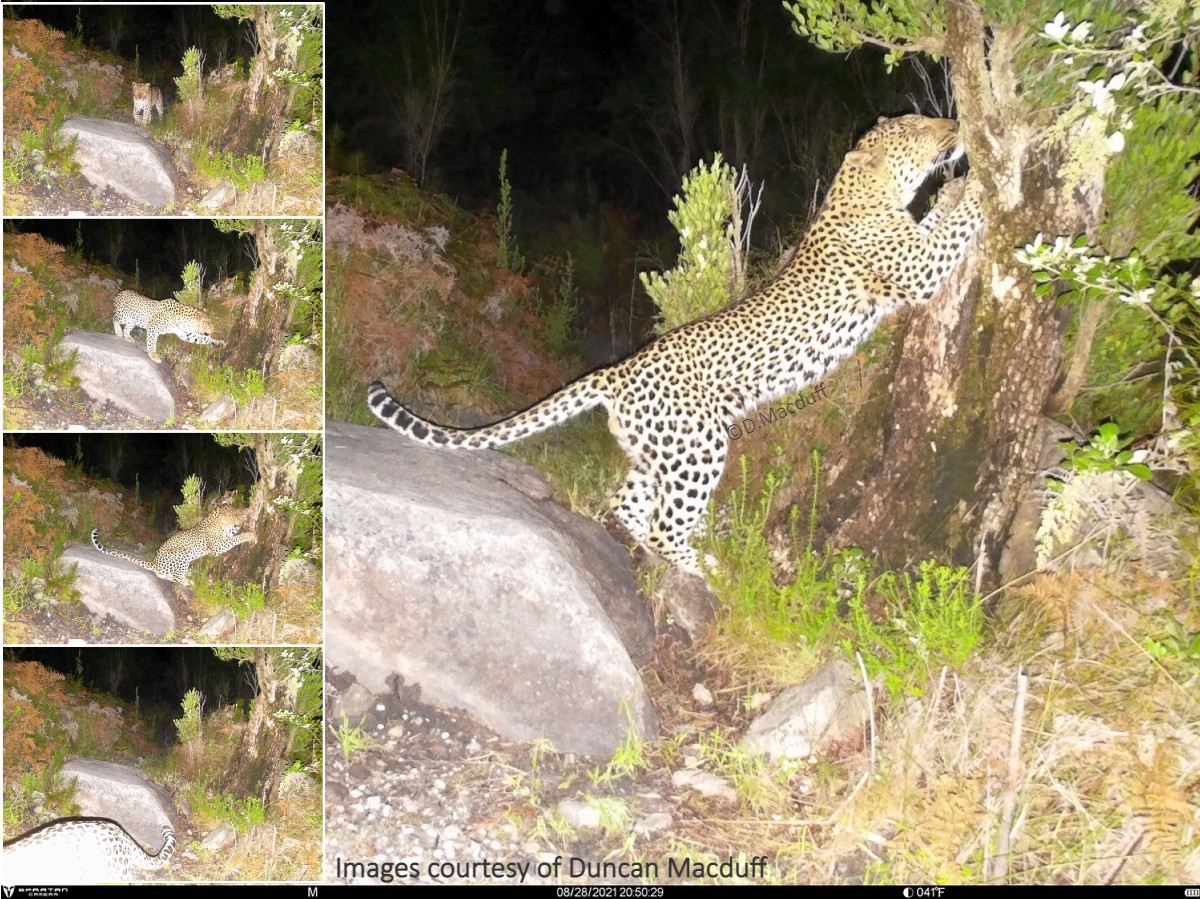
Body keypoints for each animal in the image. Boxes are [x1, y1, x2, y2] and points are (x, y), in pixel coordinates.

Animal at [91, 505, 255, 586]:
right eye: (236, 517)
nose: (241, 523)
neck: (219, 523)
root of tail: (154, 562)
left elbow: (232, 537)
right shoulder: (217, 546)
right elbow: (235, 539)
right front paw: (250, 534)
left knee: (165, 575)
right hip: (182, 553)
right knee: (177, 577)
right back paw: (189, 582)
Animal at [369, 115, 985, 575]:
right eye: (922, 127)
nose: (956, 123)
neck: (865, 192)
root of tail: (617, 371)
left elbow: (942, 217)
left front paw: (960, 183)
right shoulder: (919, 269)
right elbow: (957, 225)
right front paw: (981, 181)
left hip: (658, 453)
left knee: (627, 507)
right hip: (699, 446)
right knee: (666, 525)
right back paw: (705, 567)